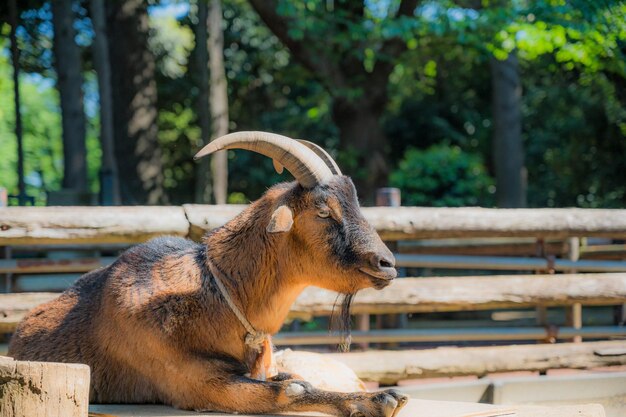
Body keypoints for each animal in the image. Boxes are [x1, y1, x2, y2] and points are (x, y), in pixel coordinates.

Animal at [11, 132, 410, 416]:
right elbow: (292, 388)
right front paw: (381, 400)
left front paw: (381, 398)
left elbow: (297, 379)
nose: (386, 264)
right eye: (323, 212)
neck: (218, 302)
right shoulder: (194, 382)